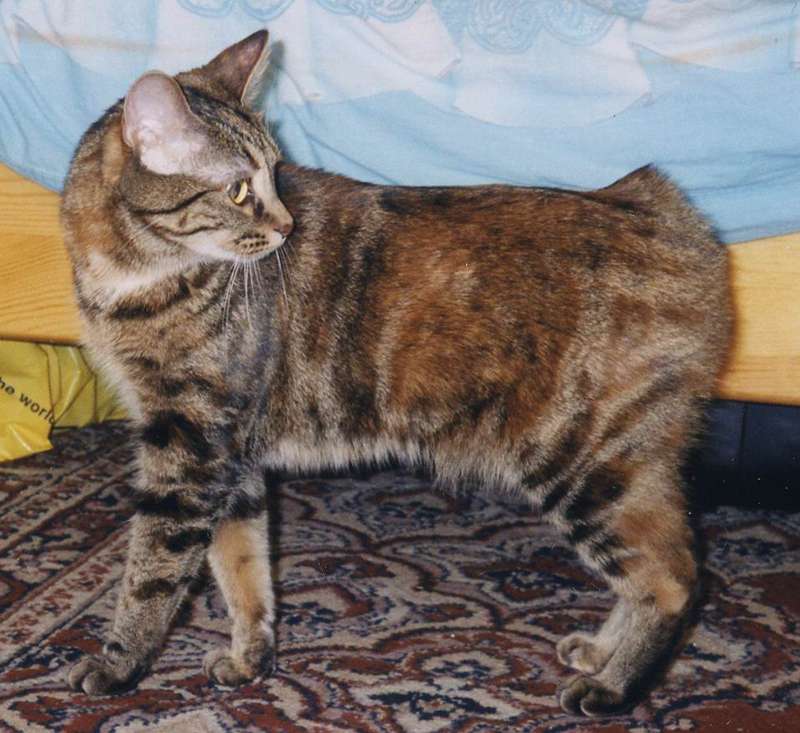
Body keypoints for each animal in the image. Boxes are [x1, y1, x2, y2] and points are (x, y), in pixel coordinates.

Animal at [60, 31, 732, 716]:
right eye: (240, 191)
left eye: (274, 174)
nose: (286, 225)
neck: (141, 278)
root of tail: (659, 208)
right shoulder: (230, 456)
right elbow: (243, 566)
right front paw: (251, 656)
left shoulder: (189, 447)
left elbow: (153, 574)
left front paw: (118, 665)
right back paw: (601, 653)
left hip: (586, 458)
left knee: (674, 576)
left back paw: (614, 686)